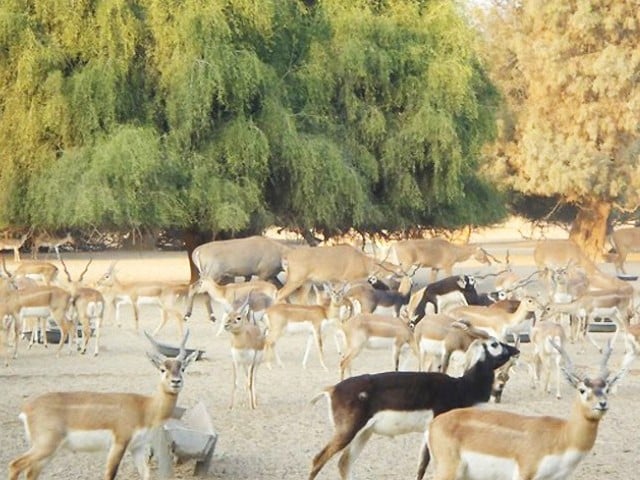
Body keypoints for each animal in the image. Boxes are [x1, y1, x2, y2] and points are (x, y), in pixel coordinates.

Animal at [7, 330, 198, 480]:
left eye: (182, 368)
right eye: (162, 369)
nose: (176, 382)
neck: (145, 407)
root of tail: (27, 409)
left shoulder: (137, 447)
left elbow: (146, 474)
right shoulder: (119, 443)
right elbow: (109, 474)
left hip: (49, 451)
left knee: (30, 472)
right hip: (45, 446)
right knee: (15, 464)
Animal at [308, 336, 520, 478]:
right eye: (494, 344)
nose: (515, 350)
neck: (461, 387)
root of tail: (333, 389)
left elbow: (421, 465)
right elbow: (424, 465)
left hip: (363, 434)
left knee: (343, 463)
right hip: (347, 432)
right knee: (318, 459)